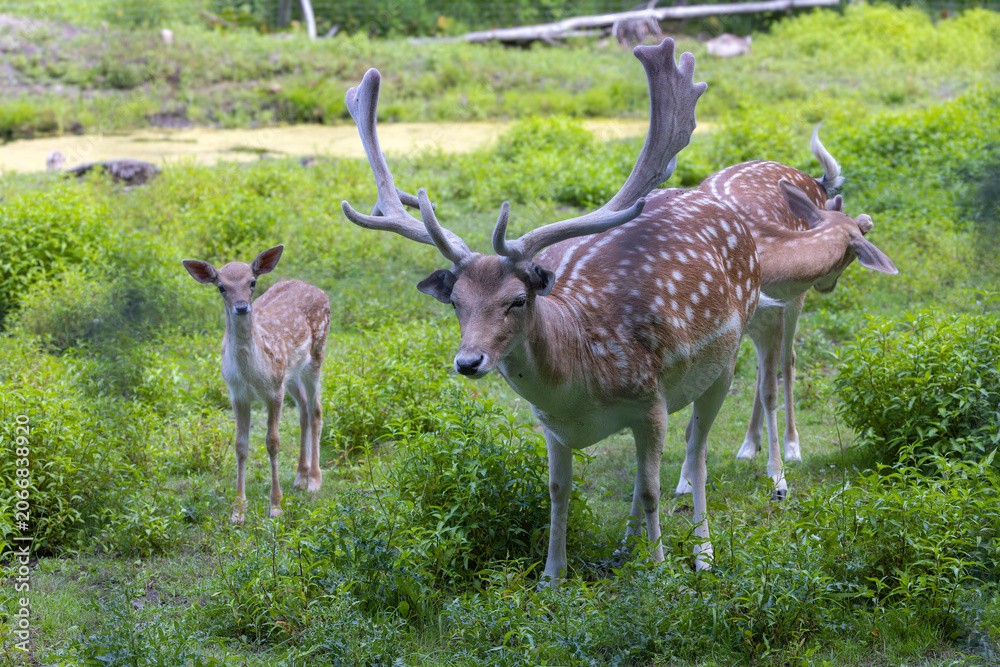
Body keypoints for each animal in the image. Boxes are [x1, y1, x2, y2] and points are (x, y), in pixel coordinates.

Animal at [182, 245, 331, 524]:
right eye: (221, 286)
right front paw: (238, 510)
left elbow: (273, 442)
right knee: (304, 409)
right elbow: (241, 445)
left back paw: (314, 480)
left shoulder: (273, 390)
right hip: (290, 373)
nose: (241, 307)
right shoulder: (238, 394)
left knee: (316, 410)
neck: (251, 373)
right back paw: (300, 476)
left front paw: (276, 506)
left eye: (252, 282)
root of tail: (317, 289)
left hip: (316, 353)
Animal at [338, 39, 764, 586]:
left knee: (697, 452)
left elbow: (652, 488)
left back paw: (703, 554)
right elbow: (560, 491)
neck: (582, 385)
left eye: (517, 299)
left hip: (725, 361)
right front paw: (552, 577)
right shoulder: (551, 424)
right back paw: (625, 550)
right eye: (456, 302)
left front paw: (660, 572)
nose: (468, 361)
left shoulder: (650, 401)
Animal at [680, 127, 897, 500]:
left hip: (793, 304)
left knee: (786, 361)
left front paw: (778, 478)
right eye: (853, 254)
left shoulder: (773, 315)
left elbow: (771, 389)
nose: (829, 286)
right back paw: (748, 445)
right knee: (761, 367)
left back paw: (791, 446)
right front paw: (684, 480)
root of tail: (815, 180)